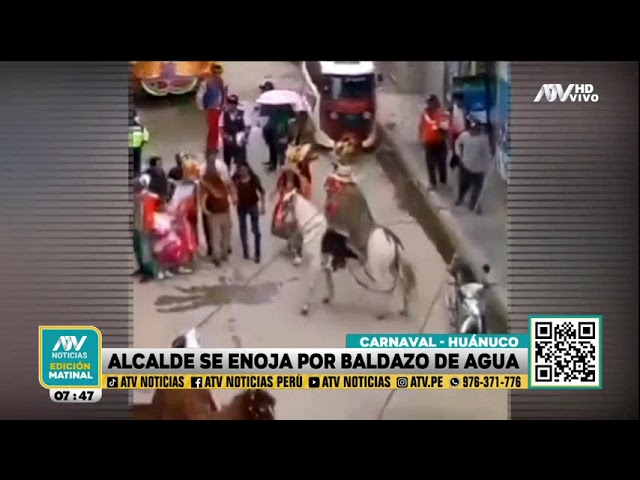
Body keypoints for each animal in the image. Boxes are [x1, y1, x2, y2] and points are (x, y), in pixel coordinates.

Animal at [280, 188, 416, 318]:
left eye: (285, 204)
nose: (281, 220)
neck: (313, 228)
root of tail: (392, 239)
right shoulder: (325, 264)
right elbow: (329, 283)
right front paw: (328, 298)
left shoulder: (315, 263)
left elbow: (311, 286)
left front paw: (305, 308)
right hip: (392, 268)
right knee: (402, 284)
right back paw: (403, 310)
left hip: (379, 271)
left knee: (390, 288)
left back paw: (382, 313)